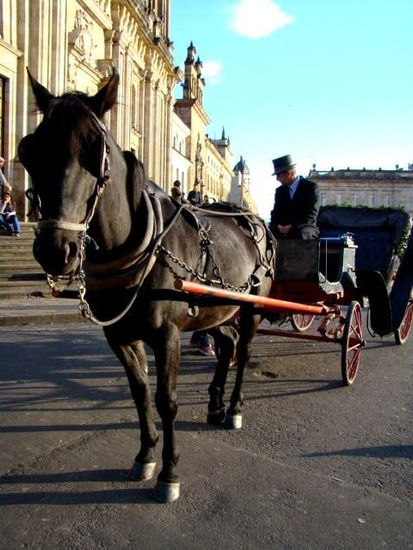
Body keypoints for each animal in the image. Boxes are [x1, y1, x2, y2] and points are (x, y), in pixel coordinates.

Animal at [17, 70, 276, 504]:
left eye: (96, 151)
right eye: (30, 151)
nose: (56, 249)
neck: (137, 248)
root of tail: (252, 219)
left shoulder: (167, 335)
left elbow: (166, 400)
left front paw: (169, 473)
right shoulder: (120, 335)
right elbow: (139, 393)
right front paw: (145, 456)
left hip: (252, 306)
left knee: (244, 352)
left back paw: (235, 408)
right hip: (215, 309)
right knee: (226, 346)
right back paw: (215, 405)